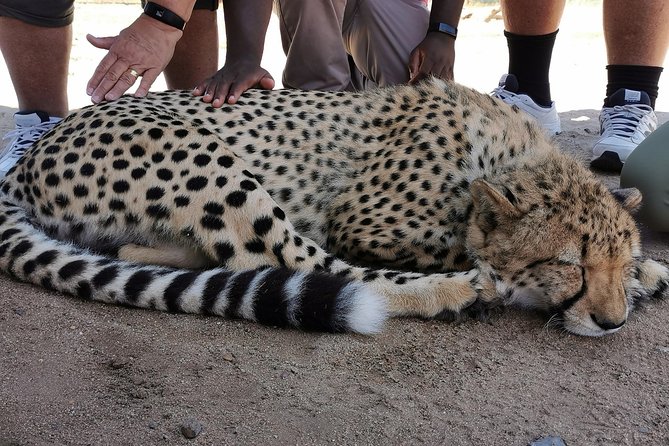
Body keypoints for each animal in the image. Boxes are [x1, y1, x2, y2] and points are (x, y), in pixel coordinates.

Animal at [0, 78, 666, 336]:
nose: (611, 323)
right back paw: (451, 293)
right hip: (202, 157)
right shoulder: (360, 220)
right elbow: (466, 248)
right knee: (289, 261)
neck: (505, 157)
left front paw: (648, 271)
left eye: (612, 259)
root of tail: (28, 158)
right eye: (570, 264)